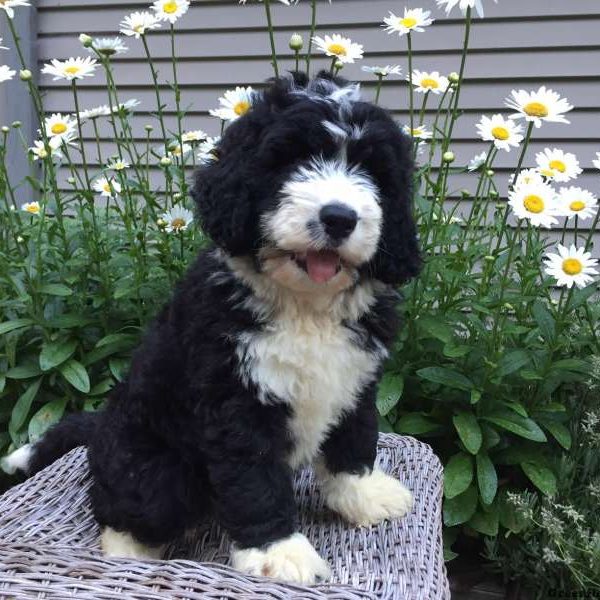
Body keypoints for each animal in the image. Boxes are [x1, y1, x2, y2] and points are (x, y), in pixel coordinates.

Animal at [1, 72, 422, 584]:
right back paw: (128, 550)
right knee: (126, 503)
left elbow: (355, 439)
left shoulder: (354, 378)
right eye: (291, 160)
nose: (339, 217)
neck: (304, 305)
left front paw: (362, 495)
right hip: (153, 464)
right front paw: (278, 551)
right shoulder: (233, 403)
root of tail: (101, 426)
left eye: (373, 170)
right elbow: (255, 481)